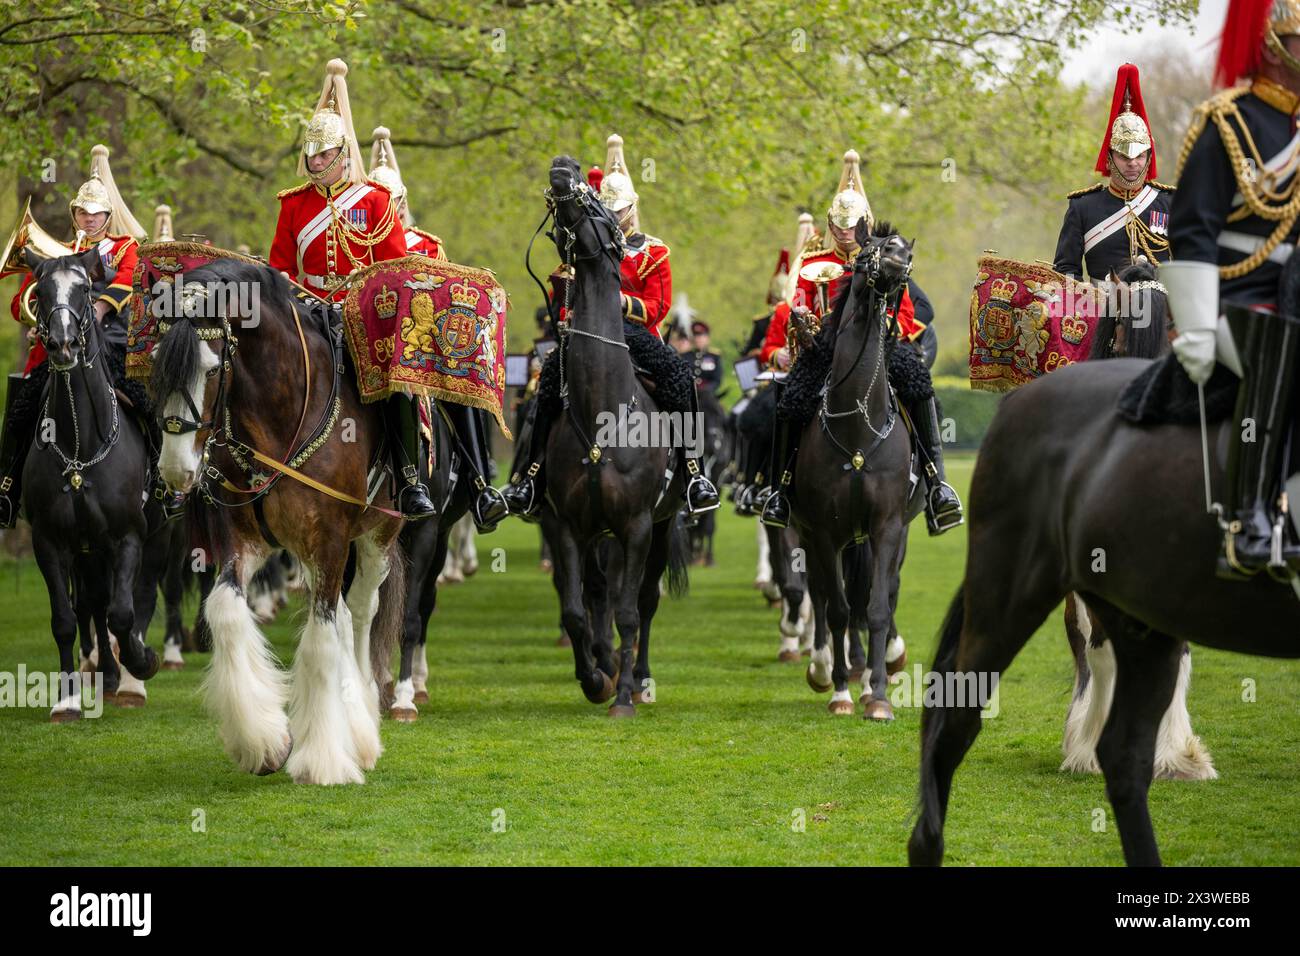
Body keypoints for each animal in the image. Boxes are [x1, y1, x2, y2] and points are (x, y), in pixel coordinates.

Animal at [21, 251, 162, 723]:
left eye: (84, 289)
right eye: (41, 290)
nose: (63, 346)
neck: (80, 444)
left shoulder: (129, 536)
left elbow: (123, 613)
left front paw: (142, 660)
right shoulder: (49, 541)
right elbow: (65, 619)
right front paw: (66, 699)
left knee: (124, 599)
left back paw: (126, 677)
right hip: (86, 550)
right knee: (92, 604)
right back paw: (107, 676)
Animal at [147, 257, 403, 780]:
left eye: (210, 369)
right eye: (156, 364)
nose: (177, 469)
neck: (278, 423)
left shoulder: (329, 540)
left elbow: (322, 642)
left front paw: (324, 759)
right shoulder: (244, 540)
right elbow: (224, 612)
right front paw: (264, 741)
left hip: (376, 537)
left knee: (360, 613)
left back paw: (363, 728)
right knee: (344, 615)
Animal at [780, 222, 925, 717]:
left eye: (904, 249)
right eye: (871, 250)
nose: (899, 262)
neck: (859, 420)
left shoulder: (887, 525)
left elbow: (876, 606)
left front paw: (877, 695)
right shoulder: (824, 531)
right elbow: (840, 608)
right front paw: (842, 691)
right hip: (814, 533)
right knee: (825, 597)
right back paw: (825, 668)